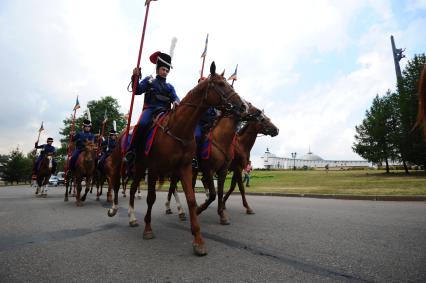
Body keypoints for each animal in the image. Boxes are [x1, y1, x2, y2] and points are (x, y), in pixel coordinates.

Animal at [106, 62, 246, 258]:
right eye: (220, 84)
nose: (243, 106)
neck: (178, 129)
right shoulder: (155, 168)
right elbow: (151, 198)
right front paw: (148, 229)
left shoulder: (184, 168)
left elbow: (192, 199)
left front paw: (198, 240)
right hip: (131, 165)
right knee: (120, 185)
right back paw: (117, 210)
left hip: (140, 168)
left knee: (133, 189)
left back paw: (133, 218)